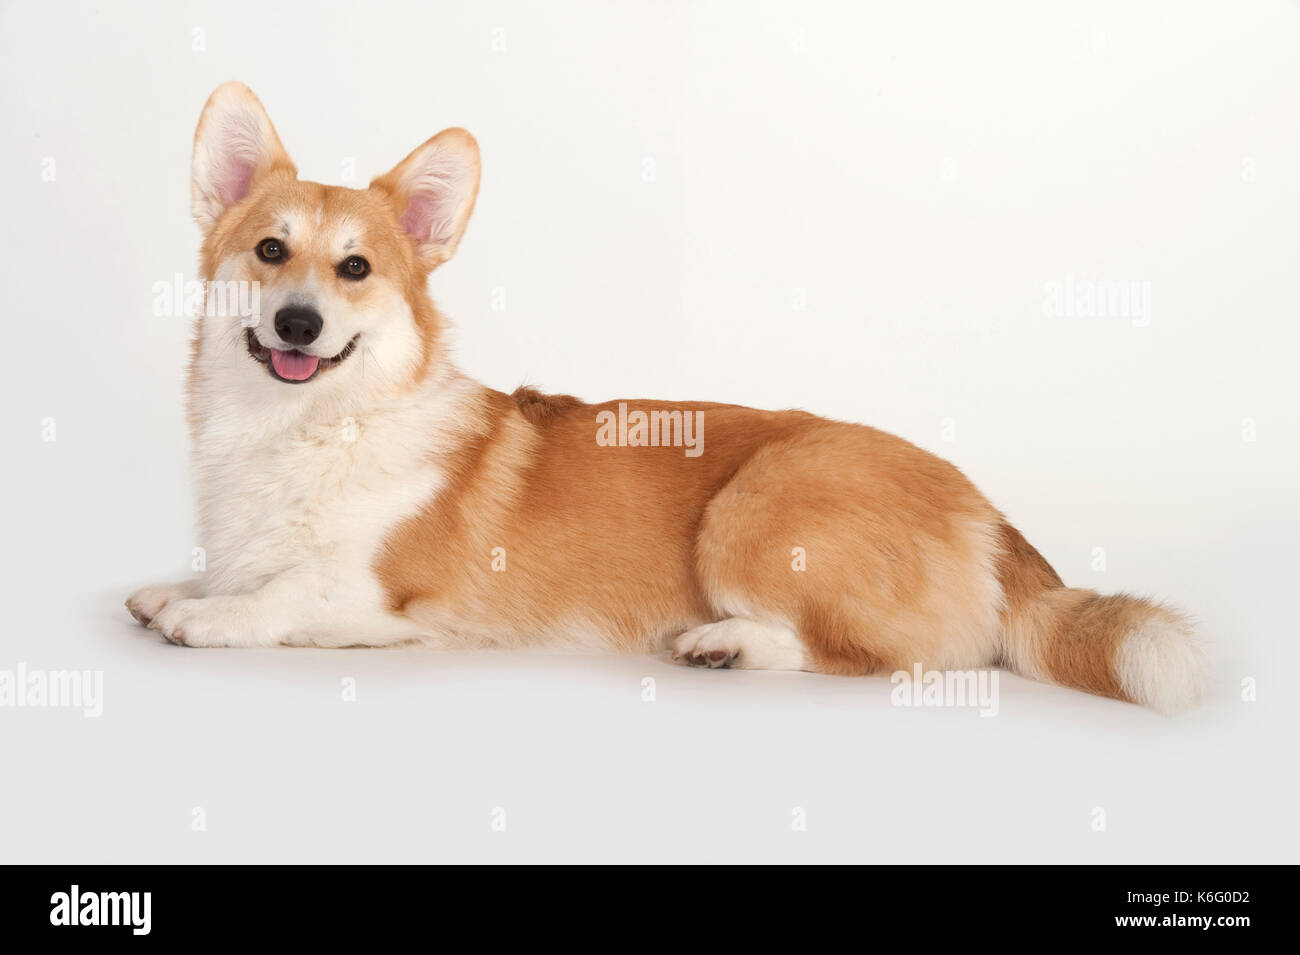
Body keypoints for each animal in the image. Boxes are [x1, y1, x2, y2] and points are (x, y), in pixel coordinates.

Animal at [126, 80, 1201, 712]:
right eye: (271, 251)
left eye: (354, 268)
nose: (299, 323)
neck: (307, 426)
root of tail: (991, 515)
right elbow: (227, 574)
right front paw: (176, 590)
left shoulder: (380, 598)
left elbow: (281, 595)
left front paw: (206, 618)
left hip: (752, 514)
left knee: (895, 655)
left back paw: (726, 642)